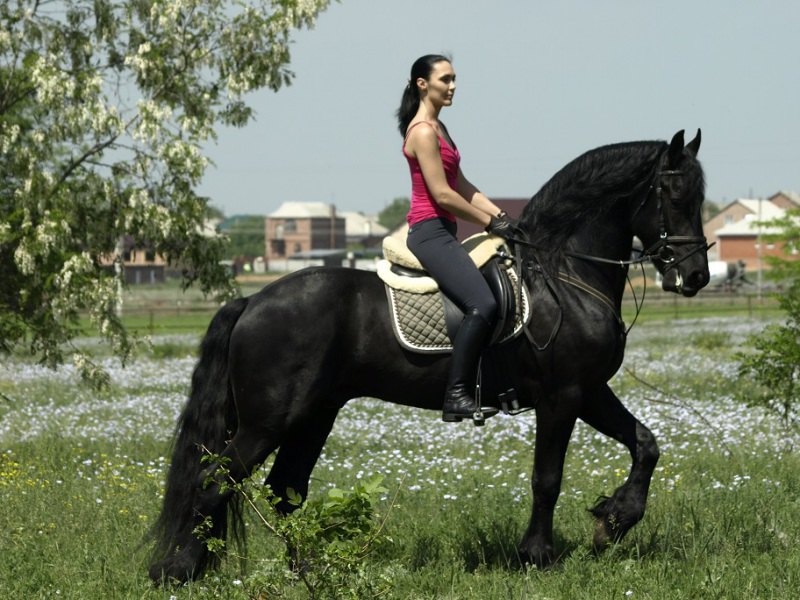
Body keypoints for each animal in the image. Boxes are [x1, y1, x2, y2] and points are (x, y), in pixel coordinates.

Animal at [148, 130, 708, 580]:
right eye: (674, 194)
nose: (696, 276)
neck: (563, 273)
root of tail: (251, 301)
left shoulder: (588, 390)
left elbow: (646, 445)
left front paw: (614, 520)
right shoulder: (562, 396)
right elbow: (547, 479)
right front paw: (538, 556)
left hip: (312, 415)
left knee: (284, 491)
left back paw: (305, 571)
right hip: (269, 420)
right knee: (214, 481)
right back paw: (179, 570)